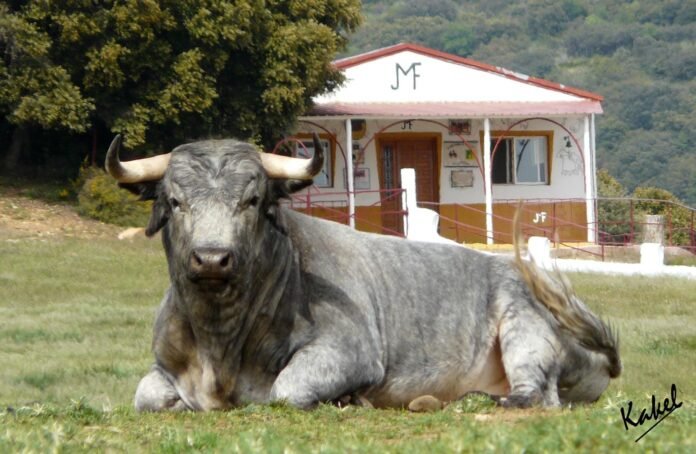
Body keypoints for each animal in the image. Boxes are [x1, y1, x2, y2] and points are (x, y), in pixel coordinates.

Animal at [106, 134, 624, 412]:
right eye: (175, 201)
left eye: (252, 200)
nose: (212, 258)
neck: (221, 343)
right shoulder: (164, 369)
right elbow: (146, 395)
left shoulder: (348, 353)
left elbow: (286, 389)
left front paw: (348, 399)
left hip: (525, 334)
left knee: (534, 395)